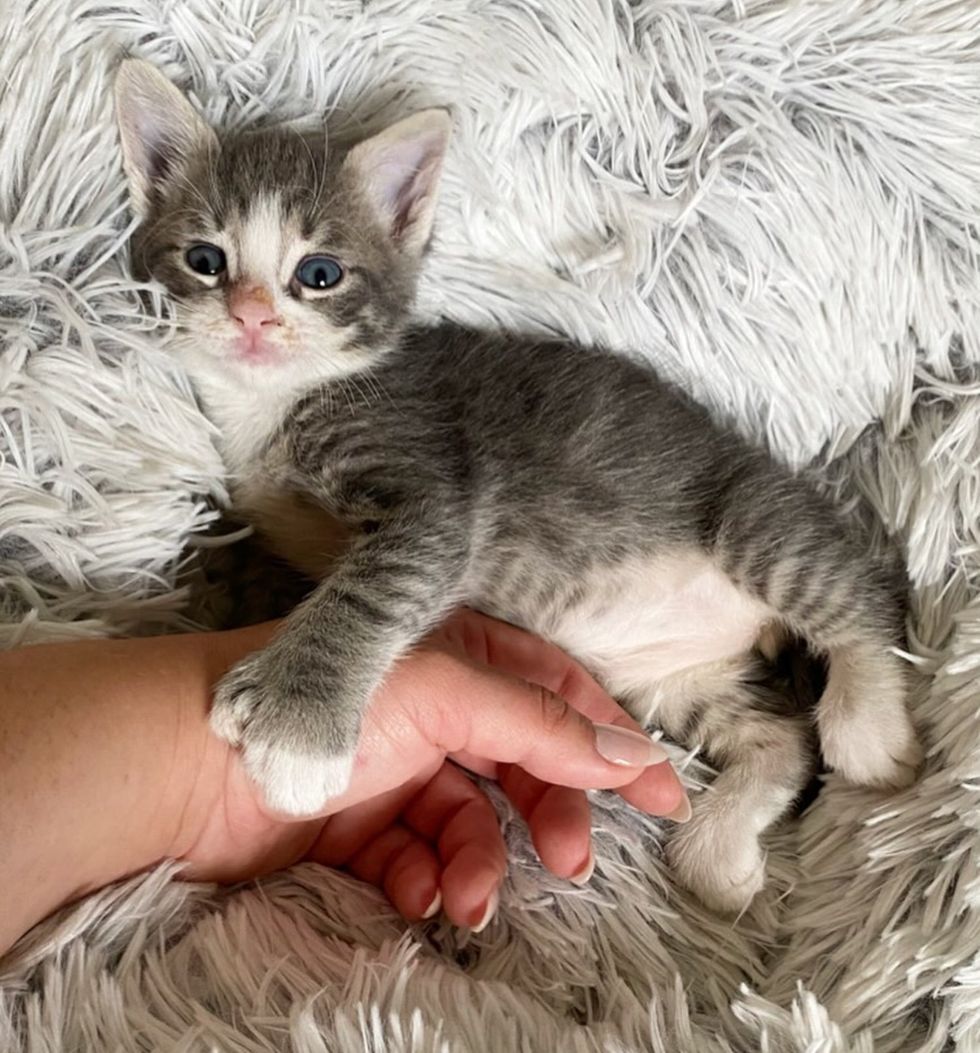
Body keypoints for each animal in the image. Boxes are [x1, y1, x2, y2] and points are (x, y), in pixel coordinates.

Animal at [118, 59, 922, 914]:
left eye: (319, 274)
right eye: (206, 259)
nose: (252, 316)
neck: (281, 400)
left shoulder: (433, 486)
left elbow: (368, 588)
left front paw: (297, 728)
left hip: (748, 519)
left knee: (862, 593)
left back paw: (870, 727)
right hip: (668, 678)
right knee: (781, 737)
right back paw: (719, 846)